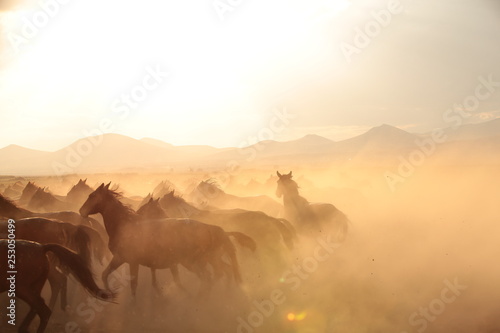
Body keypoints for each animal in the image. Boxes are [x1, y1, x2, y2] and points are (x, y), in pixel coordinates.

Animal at [79, 183, 247, 296]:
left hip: (193, 261)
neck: (124, 225)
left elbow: (133, 285)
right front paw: (110, 294)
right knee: (219, 273)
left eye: (92, 196)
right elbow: (105, 274)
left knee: (211, 276)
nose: (81, 211)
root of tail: (213, 229)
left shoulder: (130, 261)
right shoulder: (122, 259)